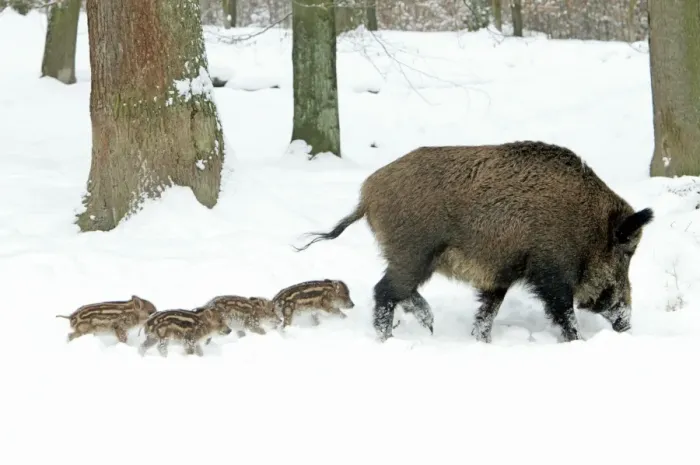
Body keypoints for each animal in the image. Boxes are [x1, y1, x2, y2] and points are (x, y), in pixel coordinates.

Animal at [295, 141, 654, 343]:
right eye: (627, 253)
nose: (626, 324)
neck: (588, 228)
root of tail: (368, 194)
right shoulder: (552, 273)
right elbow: (564, 313)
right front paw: (578, 342)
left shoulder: (501, 275)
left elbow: (487, 312)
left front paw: (481, 341)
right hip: (414, 253)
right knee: (384, 291)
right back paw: (392, 337)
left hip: (409, 257)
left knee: (398, 291)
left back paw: (428, 325)